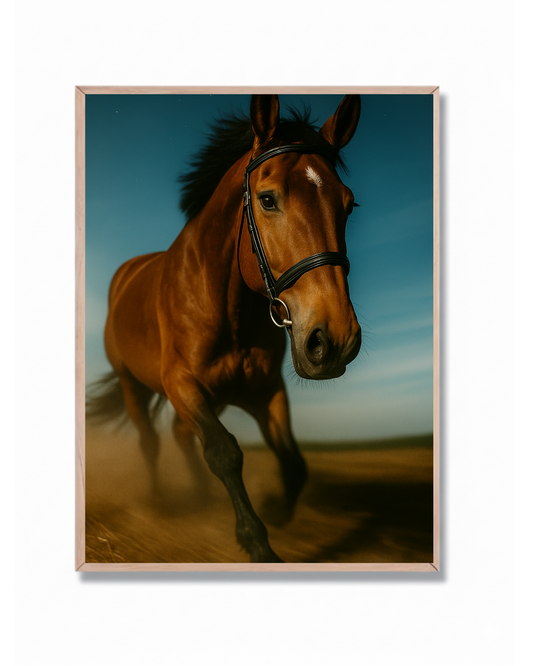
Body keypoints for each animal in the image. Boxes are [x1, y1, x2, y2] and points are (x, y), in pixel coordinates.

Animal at [87, 94, 362, 563]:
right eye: (267, 199)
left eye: (348, 204)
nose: (335, 339)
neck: (226, 306)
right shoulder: (181, 383)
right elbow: (224, 452)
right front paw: (257, 542)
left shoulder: (264, 390)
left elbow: (293, 462)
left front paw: (277, 510)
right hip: (132, 385)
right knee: (151, 441)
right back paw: (160, 503)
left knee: (181, 437)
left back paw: (200, 498)